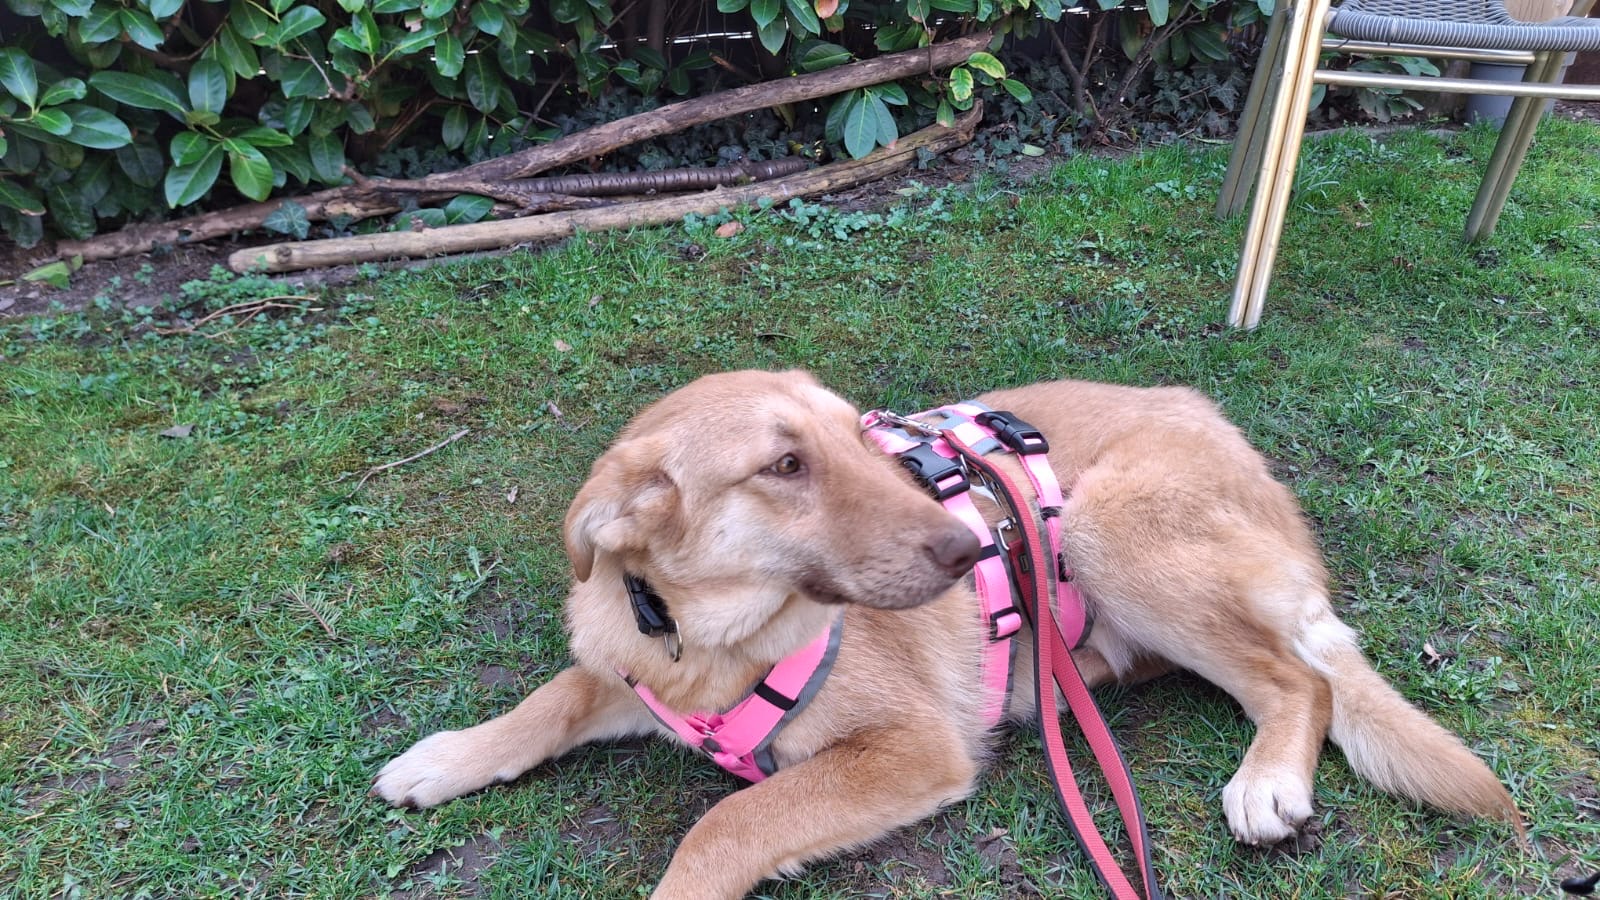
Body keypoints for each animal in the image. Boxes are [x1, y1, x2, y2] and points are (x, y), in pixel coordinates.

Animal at [373, 369, 1520, 898]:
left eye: (858, 436)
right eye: (784, 466)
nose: (972, 552)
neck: (709, 640)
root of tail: (1217, 424)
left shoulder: (906, 750)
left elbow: (727, 823)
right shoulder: (627, 664)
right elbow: (556, 694)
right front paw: (446, 759)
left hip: (1105, 529)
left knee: (1299, 679)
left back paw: (1269, 778)